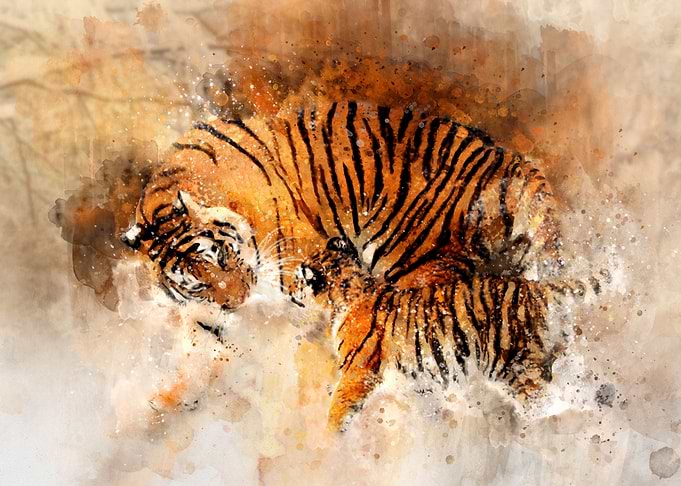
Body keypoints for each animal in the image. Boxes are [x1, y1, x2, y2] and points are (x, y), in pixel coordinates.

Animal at [119, 97, 566, 428]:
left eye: (223, 256)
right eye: (195, 283)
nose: (238, 300)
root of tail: (507, 162)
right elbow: (201, 354)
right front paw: (158, 407)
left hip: (414, 265)